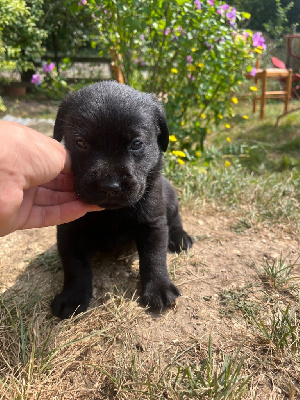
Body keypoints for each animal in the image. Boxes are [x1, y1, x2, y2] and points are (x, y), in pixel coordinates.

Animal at [51, 81, 192, 318]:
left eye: (136, 144)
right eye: (81, 143)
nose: (110, 187)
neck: (111, 212)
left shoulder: (153, 223)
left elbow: (154, 257)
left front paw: (159, 288)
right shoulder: (68, 230)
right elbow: (74, 265)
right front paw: (72, 297)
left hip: (171, 197)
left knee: (175, 219)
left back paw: (181, 237)